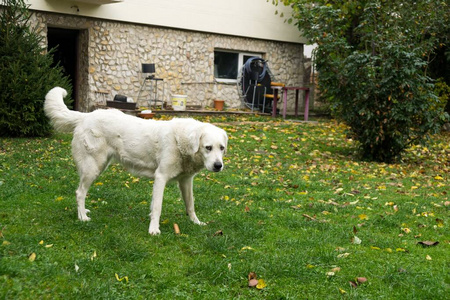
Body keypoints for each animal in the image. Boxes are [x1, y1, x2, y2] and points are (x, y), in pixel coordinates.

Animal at [44, 86, 229, 234]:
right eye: (208, 147)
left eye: (221, 148)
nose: (218, 166)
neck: (181, 142)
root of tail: (86, 116)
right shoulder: (161, 177)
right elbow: (157, 207)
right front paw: (153, 230)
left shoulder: (186, 181)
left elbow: (190, 205)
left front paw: (196, 223)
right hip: (92, 168)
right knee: (80, 192)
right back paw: (82, 217)